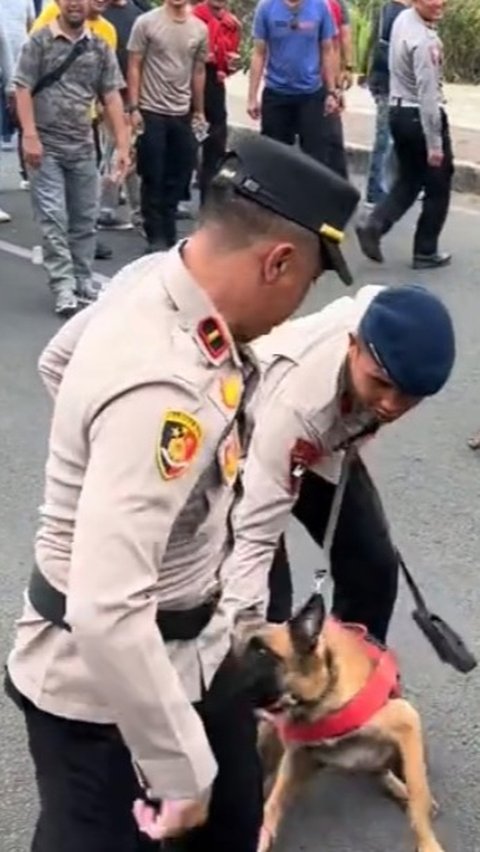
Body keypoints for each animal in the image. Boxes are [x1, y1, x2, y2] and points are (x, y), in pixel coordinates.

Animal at [242, 592, 444, 852]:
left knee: (392, 773)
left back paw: (400, 787)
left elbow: (419, 797)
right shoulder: (299, 758)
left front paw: (427, 843)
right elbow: (274, 802)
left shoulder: (407, 722)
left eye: (262, 652)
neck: (320, 700)